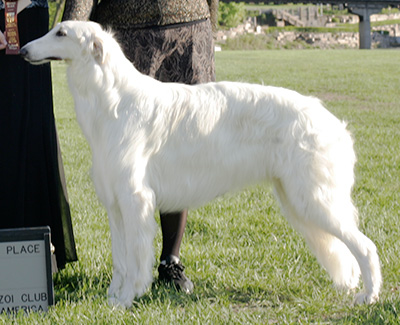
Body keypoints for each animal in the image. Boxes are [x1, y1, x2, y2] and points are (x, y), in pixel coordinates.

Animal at [21, 20, 382, 306]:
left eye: (61, 33)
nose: (23, 50)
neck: (115, 102)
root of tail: (334, 123)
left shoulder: (135, 199)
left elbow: (136, 259)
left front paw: (127, 298)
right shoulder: (114, 203)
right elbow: (120, 259)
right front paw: (113, 297)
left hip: (314, 199)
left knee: (366, 247)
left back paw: (369, 295)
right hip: (297, 199)